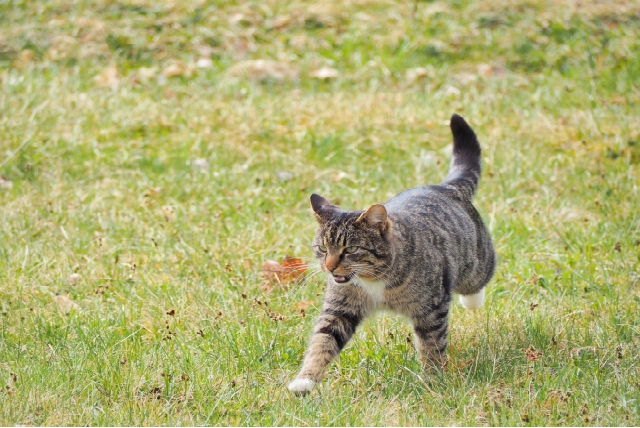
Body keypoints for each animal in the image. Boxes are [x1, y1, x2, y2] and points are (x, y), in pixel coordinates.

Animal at [288, 114, 496, 394]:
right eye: (323, 248)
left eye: (350, 249)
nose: (329, 267)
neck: (372, 279)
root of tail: (445, 187)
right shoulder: (339, 310)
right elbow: (322, 342)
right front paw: (305, 380)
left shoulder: (431, 310)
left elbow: (432, 345)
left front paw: (433, 381)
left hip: (477, 264)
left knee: (478, 279)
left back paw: (471, 301)